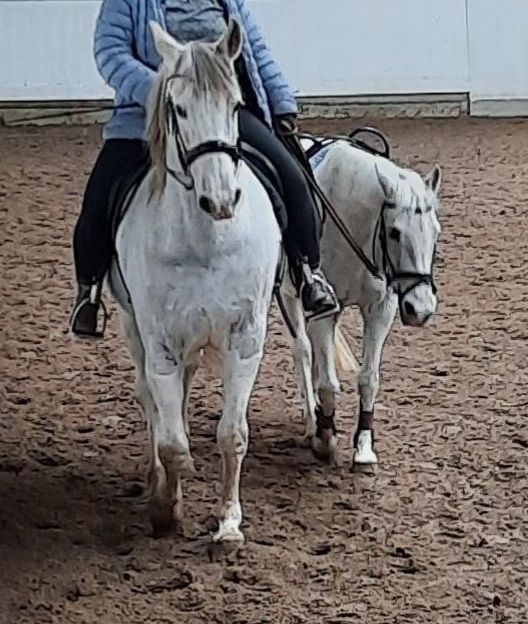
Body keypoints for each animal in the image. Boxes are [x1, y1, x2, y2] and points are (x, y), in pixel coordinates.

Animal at [110, 22, 282, 544]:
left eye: (235, 105)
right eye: (178, 109)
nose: (220, 199)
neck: (206, 240)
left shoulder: (245, 338)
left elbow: (232, 434)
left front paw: (228, 525)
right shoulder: (160, 342)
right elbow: (172, 443)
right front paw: (166, 507)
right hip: (134, 329)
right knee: (151, 402)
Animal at [280, 136, 442, 468]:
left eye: (435, 232)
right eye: (394, 232)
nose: (421, 309)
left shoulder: (381, 310)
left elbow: (369, 378)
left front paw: (364, 447)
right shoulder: (323, 312)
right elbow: (328, 382)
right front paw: (325, 440)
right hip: (288, 296)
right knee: (302, 350)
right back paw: (312, 421)